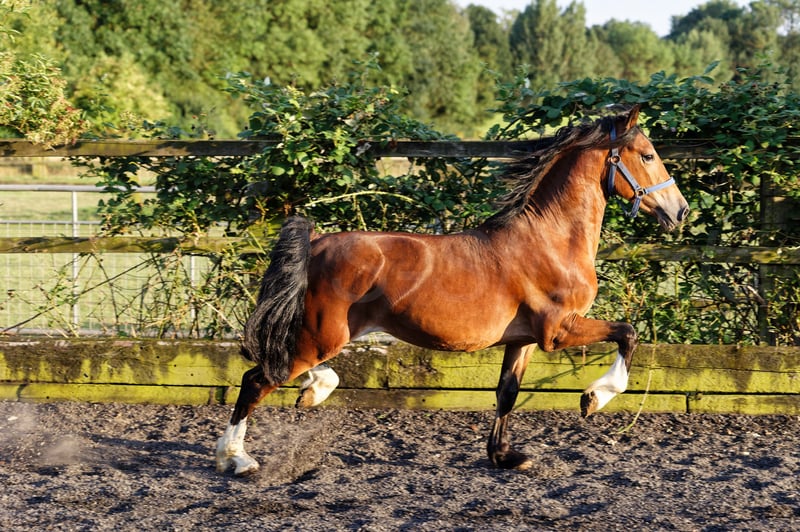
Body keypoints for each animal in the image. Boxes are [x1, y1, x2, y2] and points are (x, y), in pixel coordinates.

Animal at [216, 105, 690, 474]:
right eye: (648, 154)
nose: (680, 211)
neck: (551, 240)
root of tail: (316, 242)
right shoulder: (558, 331)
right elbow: (628, 333)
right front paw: (593, 398)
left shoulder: (523, 339)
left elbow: (507, 393)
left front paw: (504, 456)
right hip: (322, 335)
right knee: (258, 378)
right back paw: (236, 458)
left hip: (322, 334)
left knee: (285, 368)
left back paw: (312, 392)